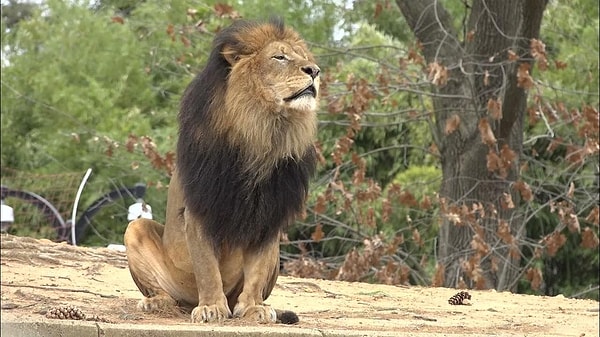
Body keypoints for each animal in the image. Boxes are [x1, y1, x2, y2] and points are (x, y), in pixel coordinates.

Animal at [121, 17, 318, 322]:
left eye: (304, 57)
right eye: (279, 57)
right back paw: (158, 303)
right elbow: (207, 268)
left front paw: (253, 308)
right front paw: (212, 307)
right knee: (168, 294)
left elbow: (256, 269)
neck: (263, 134)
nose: (315, 71)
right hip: (138, 229)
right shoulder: (201, 208)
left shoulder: (269, 215)